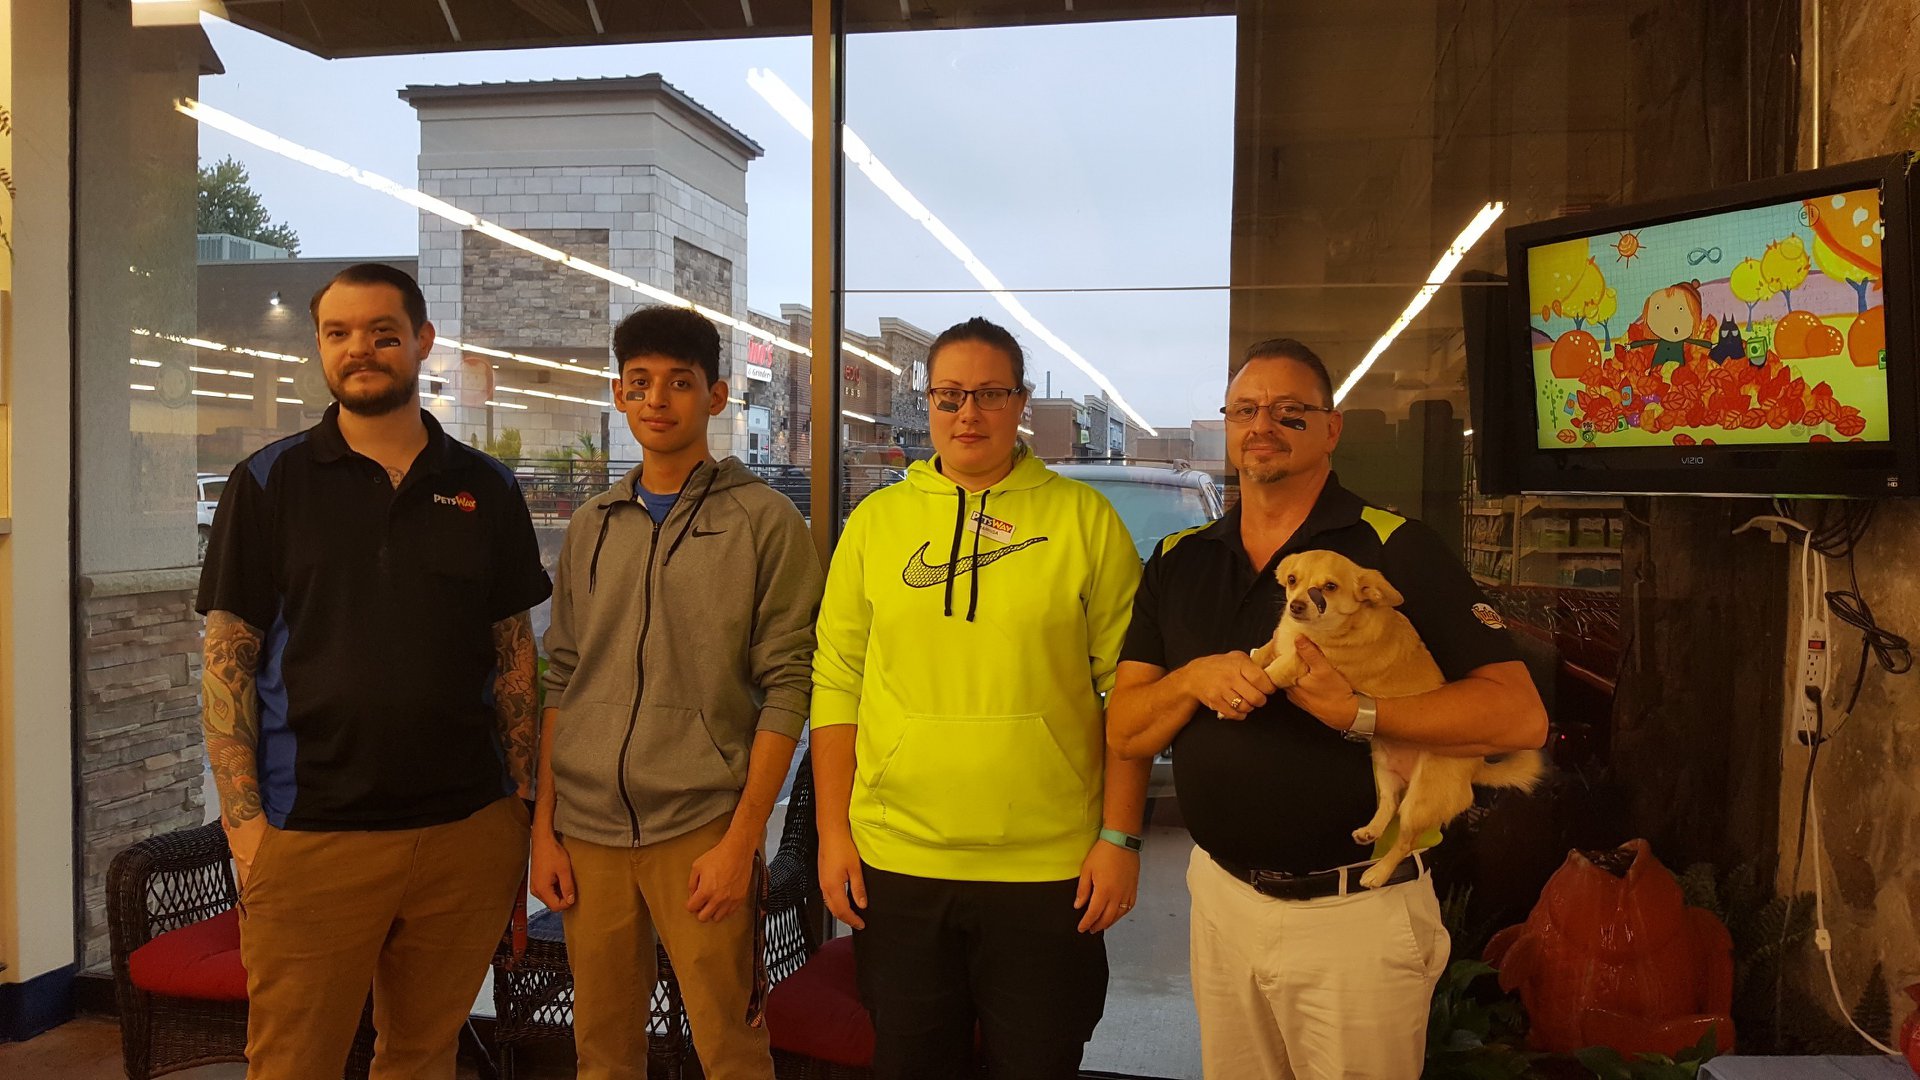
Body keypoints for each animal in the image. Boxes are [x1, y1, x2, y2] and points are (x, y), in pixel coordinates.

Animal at [1249, 550, 1545, 889]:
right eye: (1292, 580)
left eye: (1330, 587)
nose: (1296, 605)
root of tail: (1476, 768)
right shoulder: (1280, 641)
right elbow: (1265, 653)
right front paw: (1247, 661)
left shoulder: (1303, 662)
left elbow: (1274, 671)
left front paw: (1249, 685)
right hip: (1384, 768)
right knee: (1389, 803)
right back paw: (1371, 831)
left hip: (1420, 802)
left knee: (1406, 840)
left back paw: (1378, 873)